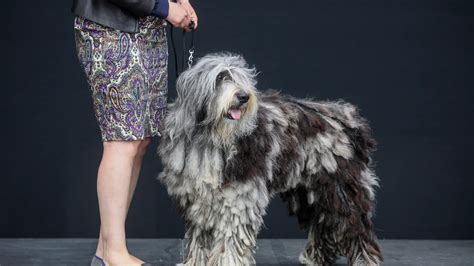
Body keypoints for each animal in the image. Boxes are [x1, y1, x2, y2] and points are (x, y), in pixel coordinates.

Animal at [157, 53, 384, 264]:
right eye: (221, 77)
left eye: (241, 78)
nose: (243, 96)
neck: (213, 138)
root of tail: (345, 118)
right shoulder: (198, 201)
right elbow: (199, 239)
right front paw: (194, 262)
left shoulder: (238, 196)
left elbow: (230, 240)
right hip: (311, 191)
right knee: (322, 222)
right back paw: (315, 257)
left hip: (339, 186)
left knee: (355, 225)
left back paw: (364, 259)